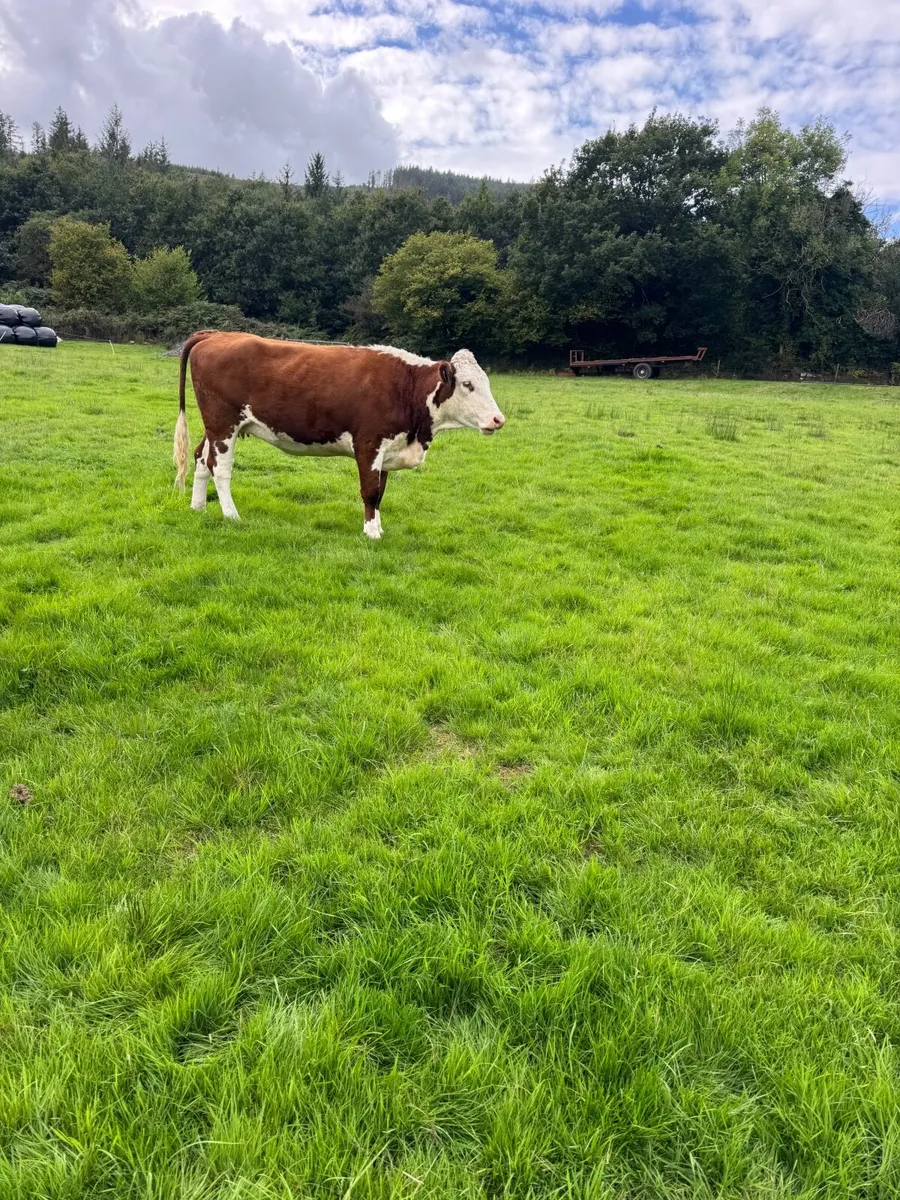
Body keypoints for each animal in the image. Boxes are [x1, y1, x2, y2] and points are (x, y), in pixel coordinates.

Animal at [172, 331, 505, 538]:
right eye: (468, 385)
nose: (498, 419)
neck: (406, 387)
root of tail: (215, 334)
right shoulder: (369, 443)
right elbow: (370, 490)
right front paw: (371, 533)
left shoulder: (389, 448)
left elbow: (380, 492)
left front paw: (378, 526)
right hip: (224, 423)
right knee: (220, 467)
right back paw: (231, 515)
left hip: (215, 426)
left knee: (201, 458)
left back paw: (198, 507)